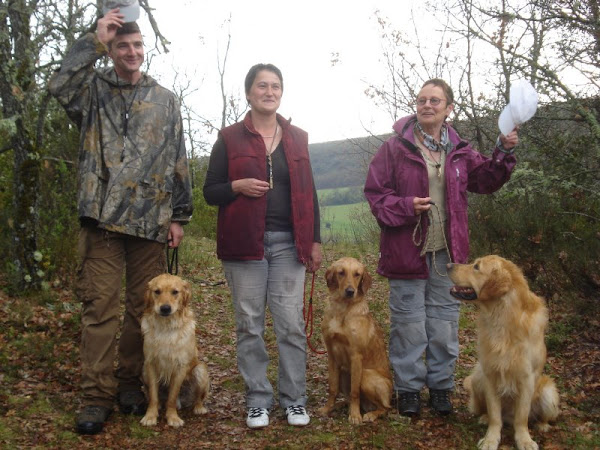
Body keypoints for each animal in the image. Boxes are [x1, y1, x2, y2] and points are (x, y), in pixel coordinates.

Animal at [139, 272, 210, 428]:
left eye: (175, 292)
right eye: (157, 291)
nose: (165, 308)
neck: (166, 327)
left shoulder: (180, 367)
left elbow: (172, 397)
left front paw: (172, 417)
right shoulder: (150, 364)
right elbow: (153, 395)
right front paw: (150, 415)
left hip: (200, 370)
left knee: (198, 397)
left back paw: (199, 408)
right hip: (144, 371)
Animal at [318, 258, 394, 424]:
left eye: (357, 274)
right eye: (341, 273)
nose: (350, 291)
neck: (342, 309)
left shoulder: (356, 356)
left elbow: (355, 392)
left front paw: (354, 415)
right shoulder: (332, 356)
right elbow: (332, 388)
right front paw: (327, 408)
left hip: (366, 375)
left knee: (385, 408)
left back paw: (370, 414)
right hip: (344, 373)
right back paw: (339, 405)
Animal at [448, 256, 560, 450]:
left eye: (476, 267)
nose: (448, 265)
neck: (502, 318)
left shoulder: (527, 378)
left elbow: (521, 418)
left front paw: (524, 440)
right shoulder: (490, 375)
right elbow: (495, 414)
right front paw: (490, 439)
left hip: (548, 392)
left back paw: (542, 425)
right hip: (477, 378)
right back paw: (485, 418)